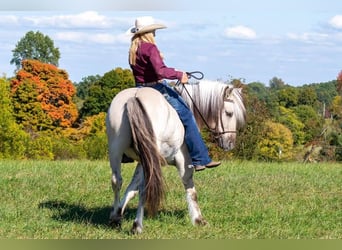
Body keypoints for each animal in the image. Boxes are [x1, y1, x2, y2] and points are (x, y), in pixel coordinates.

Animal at [105, 79, 244, 233]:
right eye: (229, 113)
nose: (230, 143)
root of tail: (134, 97)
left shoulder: (142, 161)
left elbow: (131, 189)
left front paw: (116, 214)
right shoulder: (183, 160)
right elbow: (190, 187)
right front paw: (198, 219)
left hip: (116, 149)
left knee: (117, 181)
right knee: (145, 186)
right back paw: (138, 225)